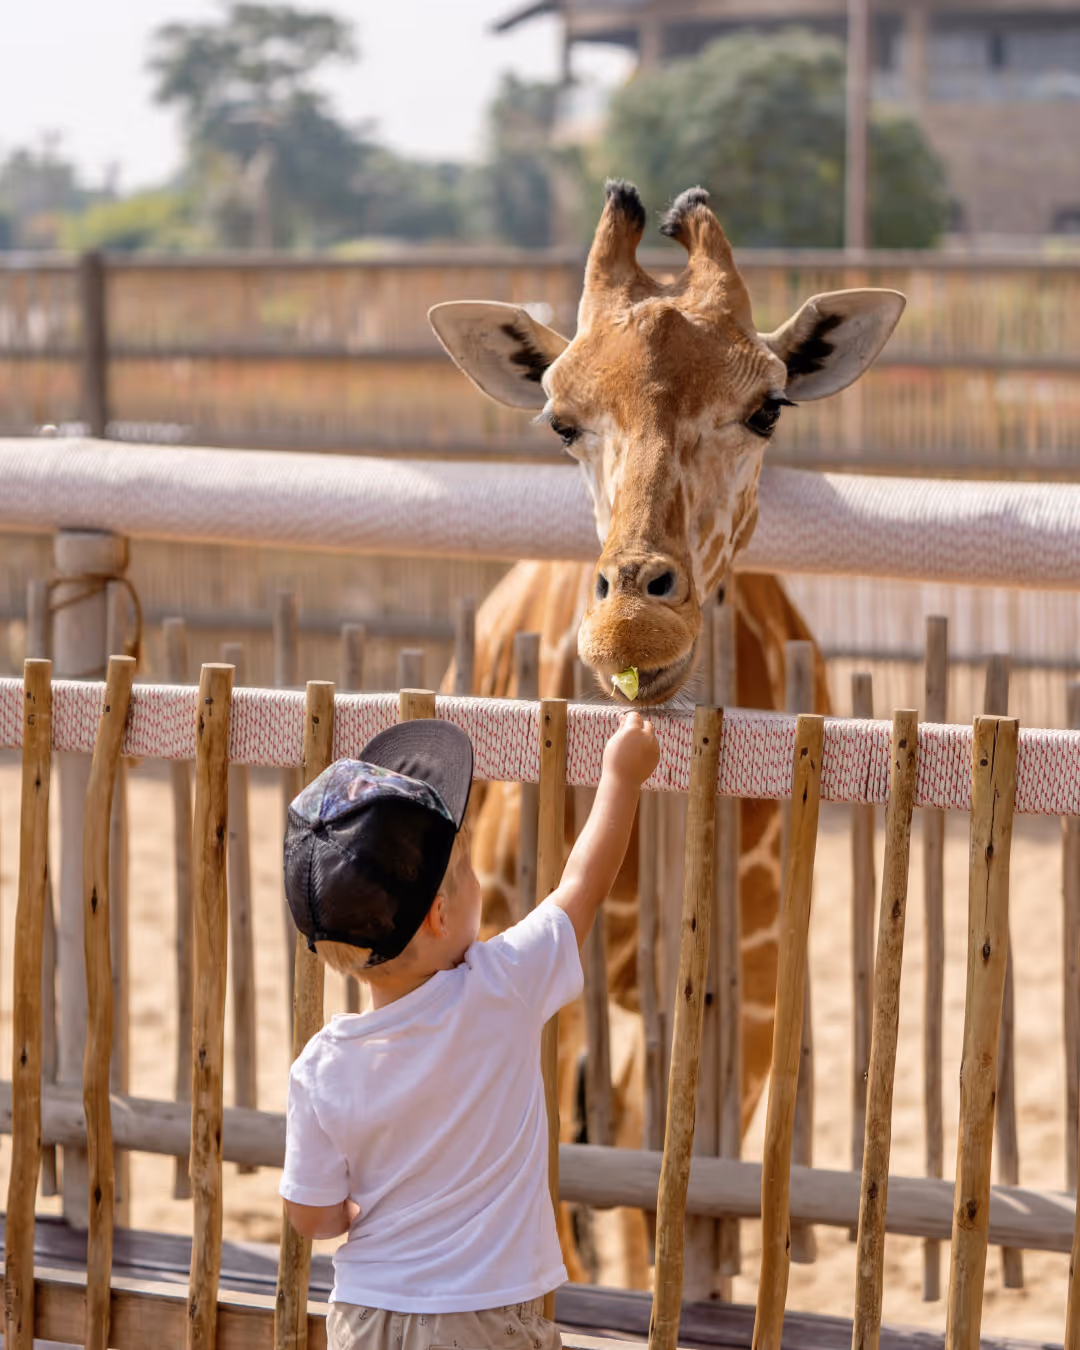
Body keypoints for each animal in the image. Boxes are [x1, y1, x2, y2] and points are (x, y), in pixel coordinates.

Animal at [432, 182, 905, 1289]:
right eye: (562, 420)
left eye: (766, 406)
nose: (635, 628)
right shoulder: (520, 950)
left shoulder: (756, 984)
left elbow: (686, 1204)